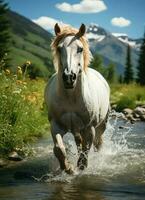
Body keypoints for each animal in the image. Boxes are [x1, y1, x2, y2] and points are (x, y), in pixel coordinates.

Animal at [44, 23, 110, 173]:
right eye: (59, 48)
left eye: (80, 49)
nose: (69, 77)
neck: (70, 98)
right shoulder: (56, 125)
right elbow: (58, 149)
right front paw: (68, 168)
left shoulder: (89, 128)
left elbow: (85, 153)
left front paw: (80, 168)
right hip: (75, 129)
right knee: (79, 142)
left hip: (101, 125)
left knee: (97, 144)